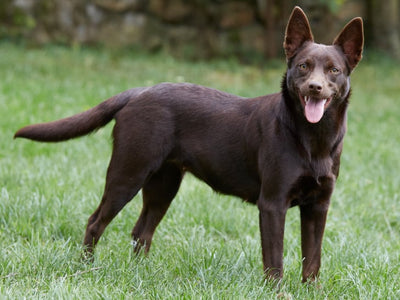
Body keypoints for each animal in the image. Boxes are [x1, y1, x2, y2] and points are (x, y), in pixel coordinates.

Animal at [14, 7, 362, 282]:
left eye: (333, 70)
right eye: (303, 66)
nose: (315, 88)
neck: (312, 140)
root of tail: (138, 92)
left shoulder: (318, 206)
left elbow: (312, 261)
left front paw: (311, 291)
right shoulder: (272, 204)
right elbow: (274, 261)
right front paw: (276, 292)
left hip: (164, 183)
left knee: (141, 232)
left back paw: (140, 275)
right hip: (127, 173)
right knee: (95, 222)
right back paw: (86, 268)